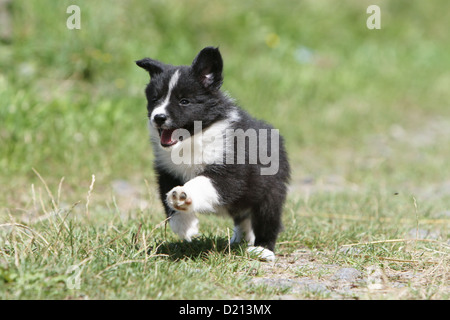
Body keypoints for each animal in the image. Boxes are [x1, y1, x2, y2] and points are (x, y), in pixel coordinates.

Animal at [135, 47, 290, 260]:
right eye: (155, 99)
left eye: (184, 101)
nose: (158, 117)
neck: (194, 138)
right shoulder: (167, 171)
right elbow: (168, 199)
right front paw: (184, 225)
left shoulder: (230, 172)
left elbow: (202, 181)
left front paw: (183, 195)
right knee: (243, 216)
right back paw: (241, 239)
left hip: (270, 190)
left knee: (268, 219)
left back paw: (263, 249)